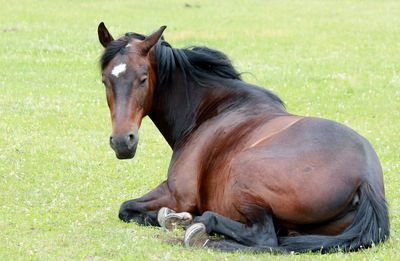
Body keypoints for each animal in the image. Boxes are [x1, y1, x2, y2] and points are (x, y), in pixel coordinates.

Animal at [96, 22, 388, 252]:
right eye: (104, 80)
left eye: (143, 78)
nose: (122, 142)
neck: (211, 110)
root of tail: (366, 179)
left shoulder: (178, 194)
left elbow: (128, 209)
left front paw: (176, 218)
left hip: (244, 174)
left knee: (263, 237)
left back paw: (199, 227)